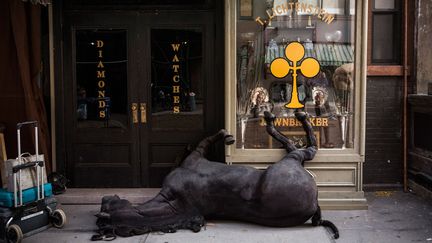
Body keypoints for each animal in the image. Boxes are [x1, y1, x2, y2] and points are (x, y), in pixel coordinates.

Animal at [92, 112, 338, 241]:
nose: (106, 197)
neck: (174, 201)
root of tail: (315, 205)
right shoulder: (198, 153)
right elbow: (210, 138)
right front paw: (226, 135)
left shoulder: (197, 153)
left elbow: (206, 139)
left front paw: (225, 135)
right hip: (290, 161)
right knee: (304, 148)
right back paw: (281, 118)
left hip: (290, 161)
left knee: (301, 147)